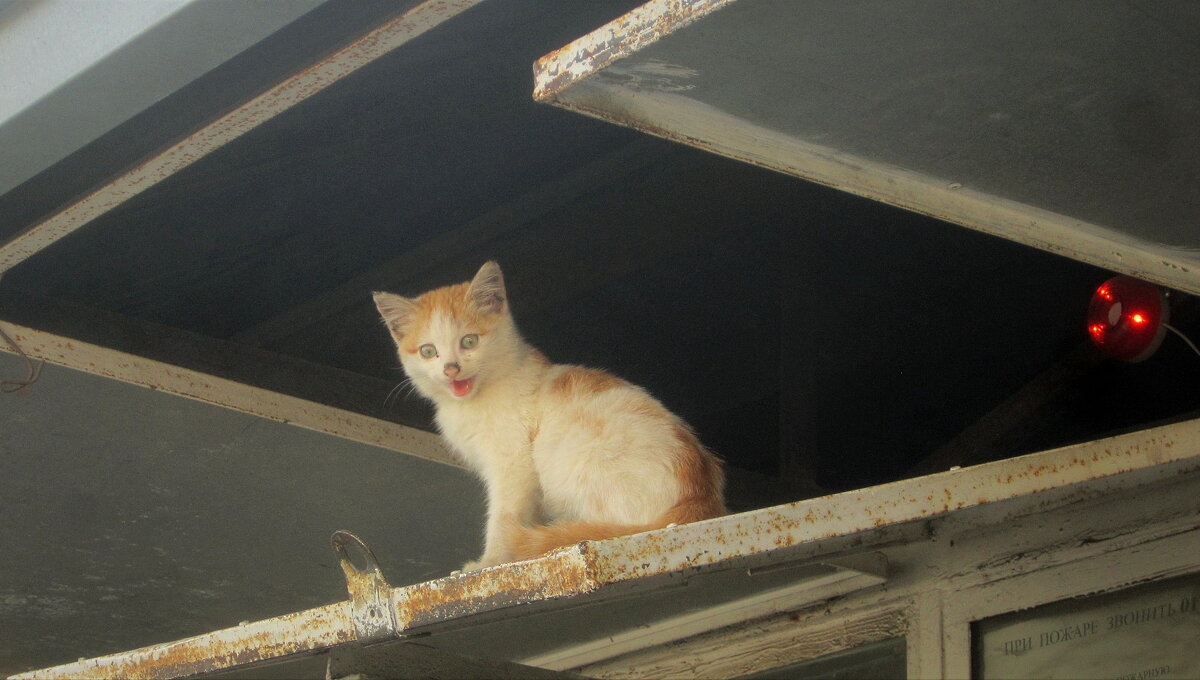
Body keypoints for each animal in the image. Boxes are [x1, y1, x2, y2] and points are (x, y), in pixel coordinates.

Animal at [374, 260, 724, 568]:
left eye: (469, 341)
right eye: (428, 351)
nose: (451, 368)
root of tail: (700, 497)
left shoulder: (514, 463)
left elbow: (503, 514)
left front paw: (490, 562)